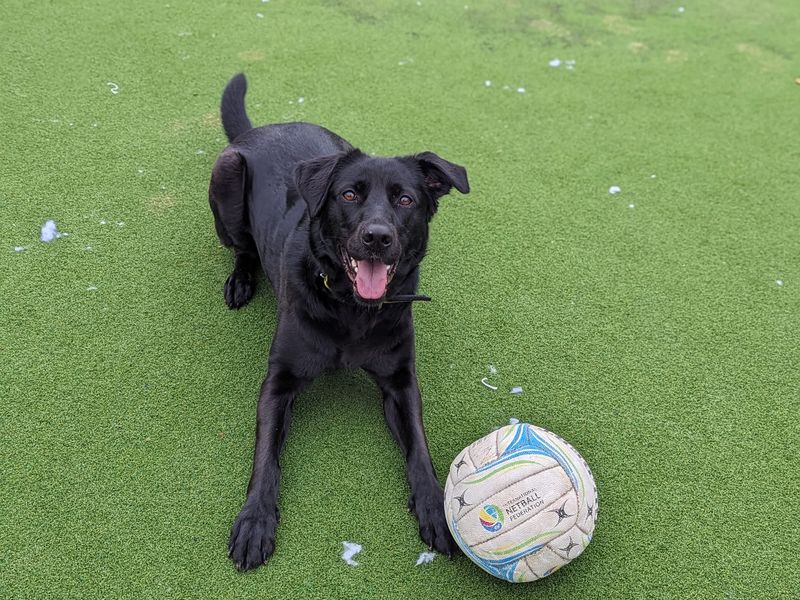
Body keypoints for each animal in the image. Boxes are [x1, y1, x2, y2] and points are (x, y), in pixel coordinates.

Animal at [209, 72, 468, 568]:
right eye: (349, 195)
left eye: (405, 199)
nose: (377, 237)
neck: (352, 310)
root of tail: (260, 129)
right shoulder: (278, 382)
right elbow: (265, 457)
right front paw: (255, 520)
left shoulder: (401, 382)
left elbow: (420, 449)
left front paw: (436, 507)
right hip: (226, 177)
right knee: (242, 248)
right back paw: (241, 280)